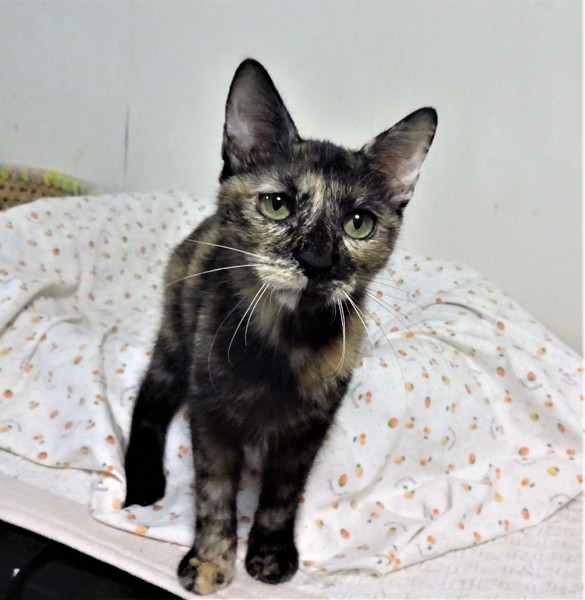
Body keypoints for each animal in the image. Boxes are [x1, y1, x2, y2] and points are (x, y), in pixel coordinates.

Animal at [123, 58, 437, 595]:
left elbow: (281, 497)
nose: (317, 261)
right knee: (149, 401)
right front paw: (211, 562)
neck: (283, 344)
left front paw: (269, 554)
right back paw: (144, 484)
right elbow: (214, 494)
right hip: (176, 337)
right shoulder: (210, 417)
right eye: (277, 204)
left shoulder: (308, 430)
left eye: (359, 223)